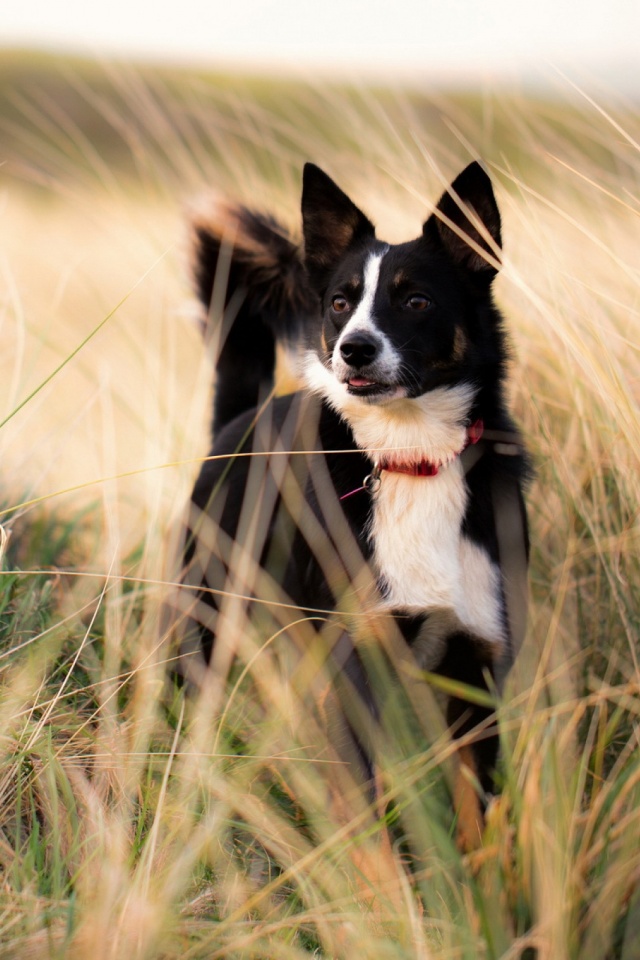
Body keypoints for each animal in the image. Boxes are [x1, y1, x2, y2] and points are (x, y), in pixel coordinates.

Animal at [178, 159, 528, 848]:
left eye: (416, 300)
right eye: (340, 303)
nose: (354, 349)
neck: (412, 458)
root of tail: (239, 419)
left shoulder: (475, 663)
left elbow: (476, 823)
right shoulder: (351, 662)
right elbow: (370, 820)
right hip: (206, 619)